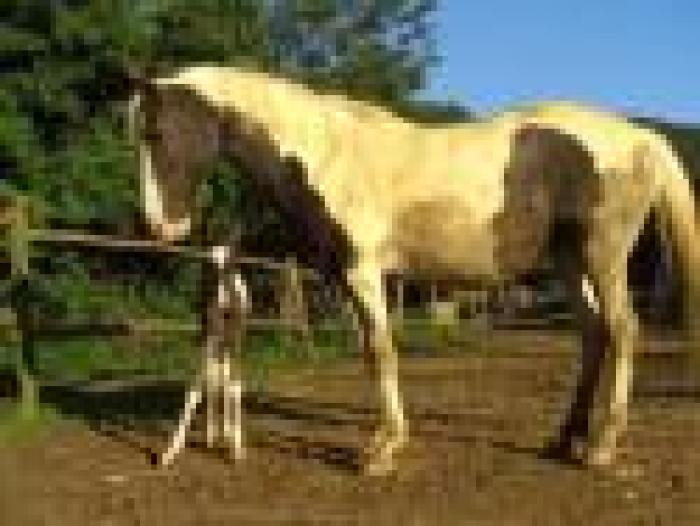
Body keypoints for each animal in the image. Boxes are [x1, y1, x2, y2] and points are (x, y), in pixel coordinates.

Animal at [123, 64, 699, 476]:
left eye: (156, 132)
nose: (158, 226)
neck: (327, 155)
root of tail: (643, 136)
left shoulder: (364, 272)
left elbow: (380, 352)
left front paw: (382, 449)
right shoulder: (350, 280)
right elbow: (370, 350)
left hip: (603, 256)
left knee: (624, 330)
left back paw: (602, 447)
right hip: (569, 261)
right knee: (594, 335)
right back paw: (565, 440)